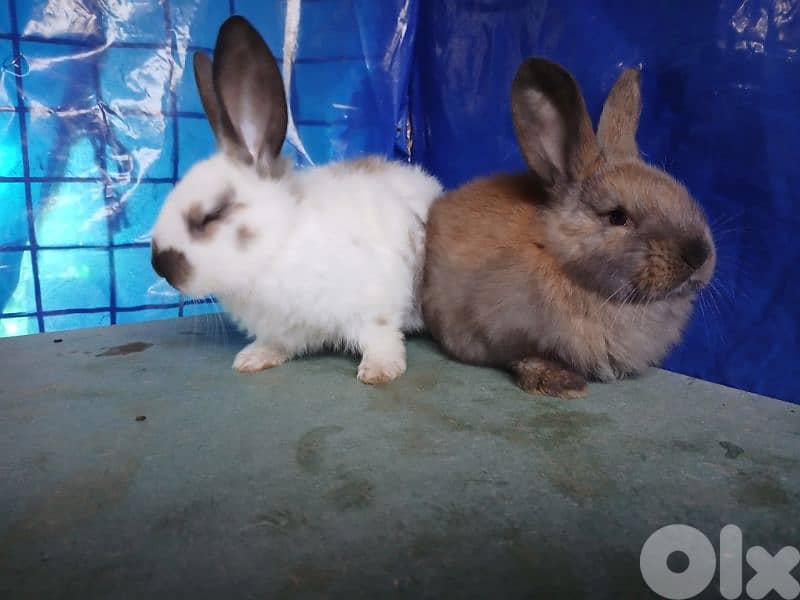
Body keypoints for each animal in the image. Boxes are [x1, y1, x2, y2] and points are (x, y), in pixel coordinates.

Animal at [150, 16, 442, 384]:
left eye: (210, 216)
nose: (159, 266)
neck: (278, 245)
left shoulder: (375, 306)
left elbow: (381, 337)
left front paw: (379, 370)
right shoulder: (283, 329)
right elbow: (277, 345)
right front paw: (253, 359)